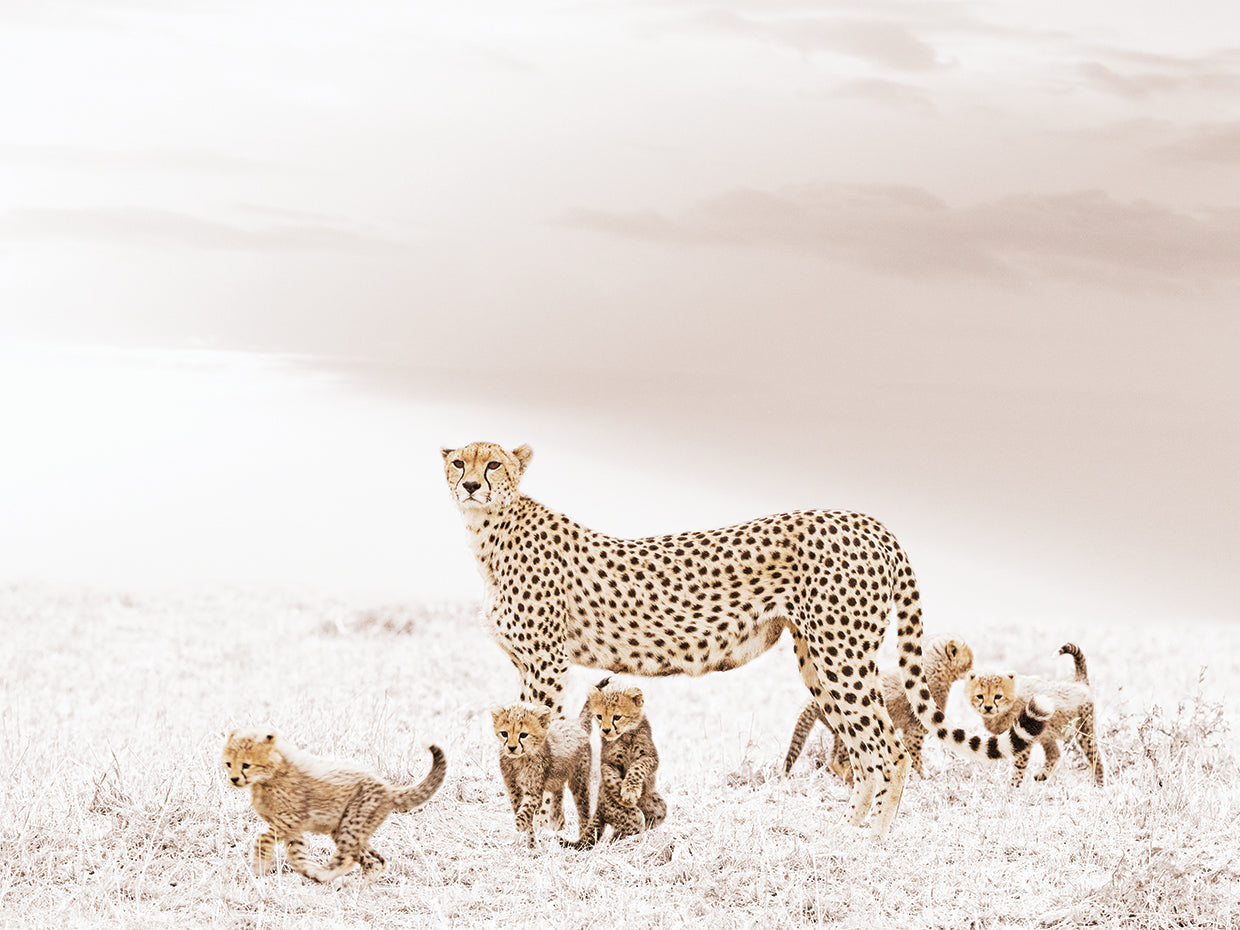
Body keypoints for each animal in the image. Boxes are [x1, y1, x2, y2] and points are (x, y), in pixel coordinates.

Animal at [222, 728, 445, 883]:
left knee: (350, 859)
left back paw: (324, 876)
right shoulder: (294, 829)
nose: (234, 779)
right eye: (228, 764)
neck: (271, 773)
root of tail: (387, 787)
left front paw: (259, 868)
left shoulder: (288, 821)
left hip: (351, 825)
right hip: (347, 829)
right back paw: (355, 887)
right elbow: (296, 855)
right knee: (375, 861)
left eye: (246, 765)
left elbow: (263, 838)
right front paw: (302, 869)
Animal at [492, 697, 592, 846]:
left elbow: (524, 813)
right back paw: (556, 823)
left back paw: (584, 839)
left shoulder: (533, 792)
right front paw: (530, 841)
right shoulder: (513, 789)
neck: (519, 760)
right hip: (556, 780)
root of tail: (575, 723)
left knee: (583, 809)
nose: (511, 748)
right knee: (558, 797)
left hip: (579, 781)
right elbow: (523, 814)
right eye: (504, 733)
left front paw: (517, 831)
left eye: (523, 735)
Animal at [570, 676, 666, 848]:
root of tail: (599, 810)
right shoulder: (607, 762)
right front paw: (624, 795)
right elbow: (611, 778)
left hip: (658, 806)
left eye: (617, 717)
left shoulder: (650, 757)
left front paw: (629, 790)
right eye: (599, 716)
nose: (606, 730)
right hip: (632, 815)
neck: (626, 735)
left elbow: (637, 767)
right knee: (618, 835)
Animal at [784, 635, 974, 783]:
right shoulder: (916, 728)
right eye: (970, 660)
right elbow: (915, 753)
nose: (973, 672)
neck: (933, 667)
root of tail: (814, 697)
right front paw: (924, 775)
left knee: (833, 759)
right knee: (839, 760)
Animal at [966, 642, 1105, 787]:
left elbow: (1019, 765)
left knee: (1096, 757)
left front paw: (1013, 786)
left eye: (998, 696)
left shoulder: (1021, 737)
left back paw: (1099, 784)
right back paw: (1042, 775)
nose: (988, 708)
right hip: (1047, 734)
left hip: (1084, 730)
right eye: (980, 696)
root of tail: (1079, 682)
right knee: (1055, 754)